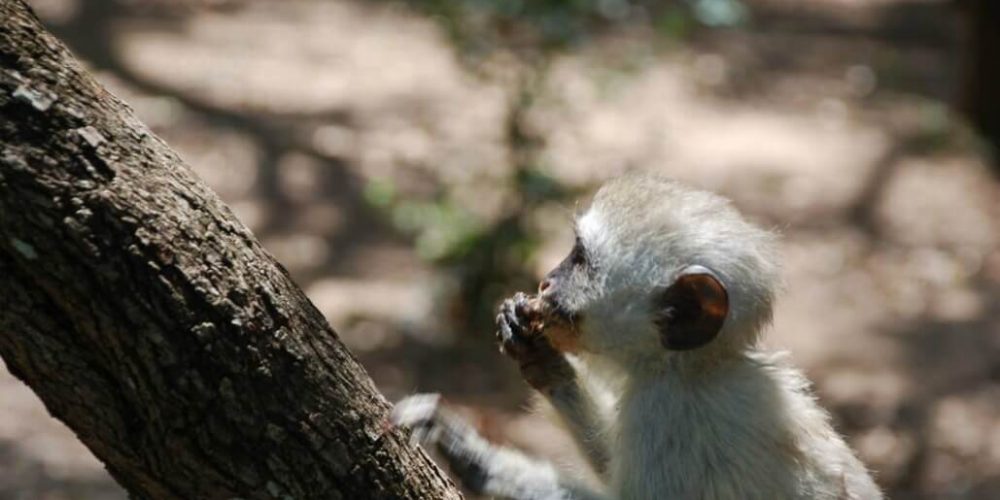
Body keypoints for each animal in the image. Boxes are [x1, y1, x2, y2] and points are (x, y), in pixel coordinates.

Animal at [392, 174, 884, 498]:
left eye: (580, 259)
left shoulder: (662, 418)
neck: (691, 370)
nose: (546, 283)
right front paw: (544, 362)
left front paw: (481, 462)